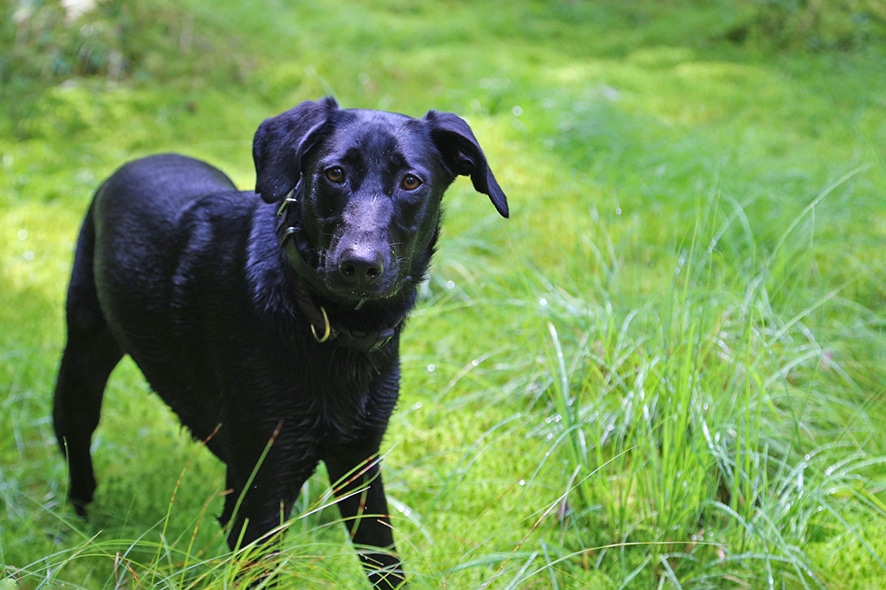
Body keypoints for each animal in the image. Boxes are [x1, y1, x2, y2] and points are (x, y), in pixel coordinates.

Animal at [53, 97, 506, 588]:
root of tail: (140, 160)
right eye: (333, 174)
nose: (359, 265)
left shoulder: (359, 461)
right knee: (76, 441)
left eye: (410, 182)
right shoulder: (261, 496)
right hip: (82, 363)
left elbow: (385, 562)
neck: (330, 326)